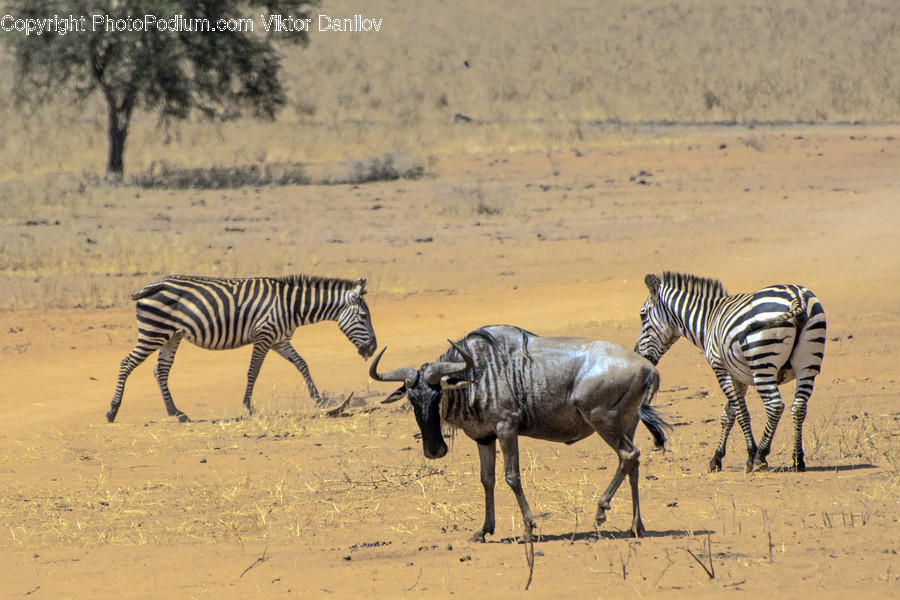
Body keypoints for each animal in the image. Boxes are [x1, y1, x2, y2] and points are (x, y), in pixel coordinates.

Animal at [106, 274, 377, 423]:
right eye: (364, 316)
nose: (373, 349)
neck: (291, 306)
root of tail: (154, 284)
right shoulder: (264, 336)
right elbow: (253, 371)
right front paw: (248, 406)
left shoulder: (280, 340)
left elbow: (302, 364)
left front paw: (319, 399)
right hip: (154, 331)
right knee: (126, 363)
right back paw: (113, 410)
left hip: (171, 335)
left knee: (161, 371)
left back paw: (176, 412)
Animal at [634, 271, 826, 472]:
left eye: (642, 315)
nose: (637, 354)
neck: (709, 320)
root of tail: (795, 296)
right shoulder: (738, 376)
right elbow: (728, 415)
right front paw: (716, 458)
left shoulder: (721, 369)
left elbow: (741, 414)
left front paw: (750, 455)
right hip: (808, 364)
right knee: (799, 407)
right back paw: (797, 460)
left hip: (763, 363)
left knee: (774, 406)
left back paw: (761, 456)